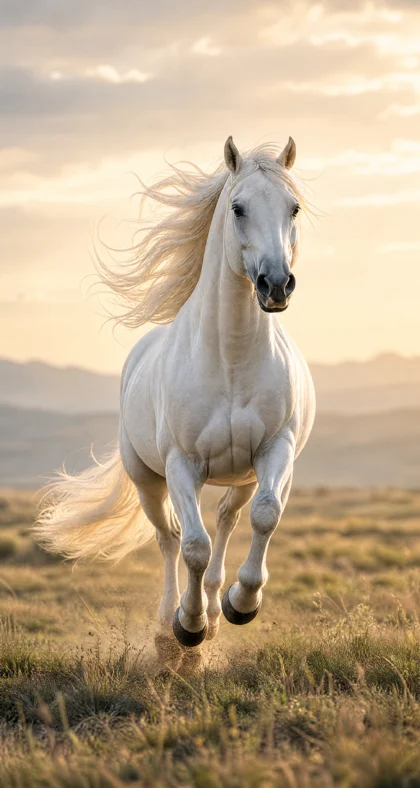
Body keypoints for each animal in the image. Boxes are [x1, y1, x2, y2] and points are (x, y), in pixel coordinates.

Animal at [35, 136, 316, 648]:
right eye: (238, 207)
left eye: (294, 207)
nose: (275, 284)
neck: (230, 359)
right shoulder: (181, 464)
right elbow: (192, 545)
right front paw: (189, 624)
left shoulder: (275, 449)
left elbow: (265, 515)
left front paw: (241, 603)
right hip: (147, 479)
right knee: (169, 537)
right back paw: (172, 617)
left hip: (241, 476)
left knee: (227, 518)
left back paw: (217, 605)